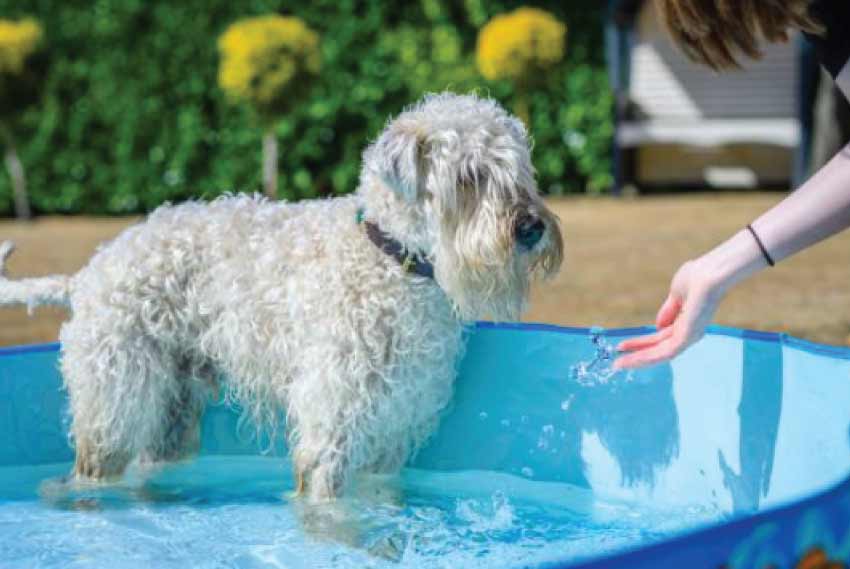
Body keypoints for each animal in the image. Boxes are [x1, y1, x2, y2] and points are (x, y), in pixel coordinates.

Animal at [1, 92, 564, 502]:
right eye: (468, 176)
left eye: (519, 170)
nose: (532, 227)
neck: (392, 260)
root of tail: (88, 273)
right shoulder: (330, 428)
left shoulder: (391, 429)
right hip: (113, 408)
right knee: (94, 467)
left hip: (171, 414)